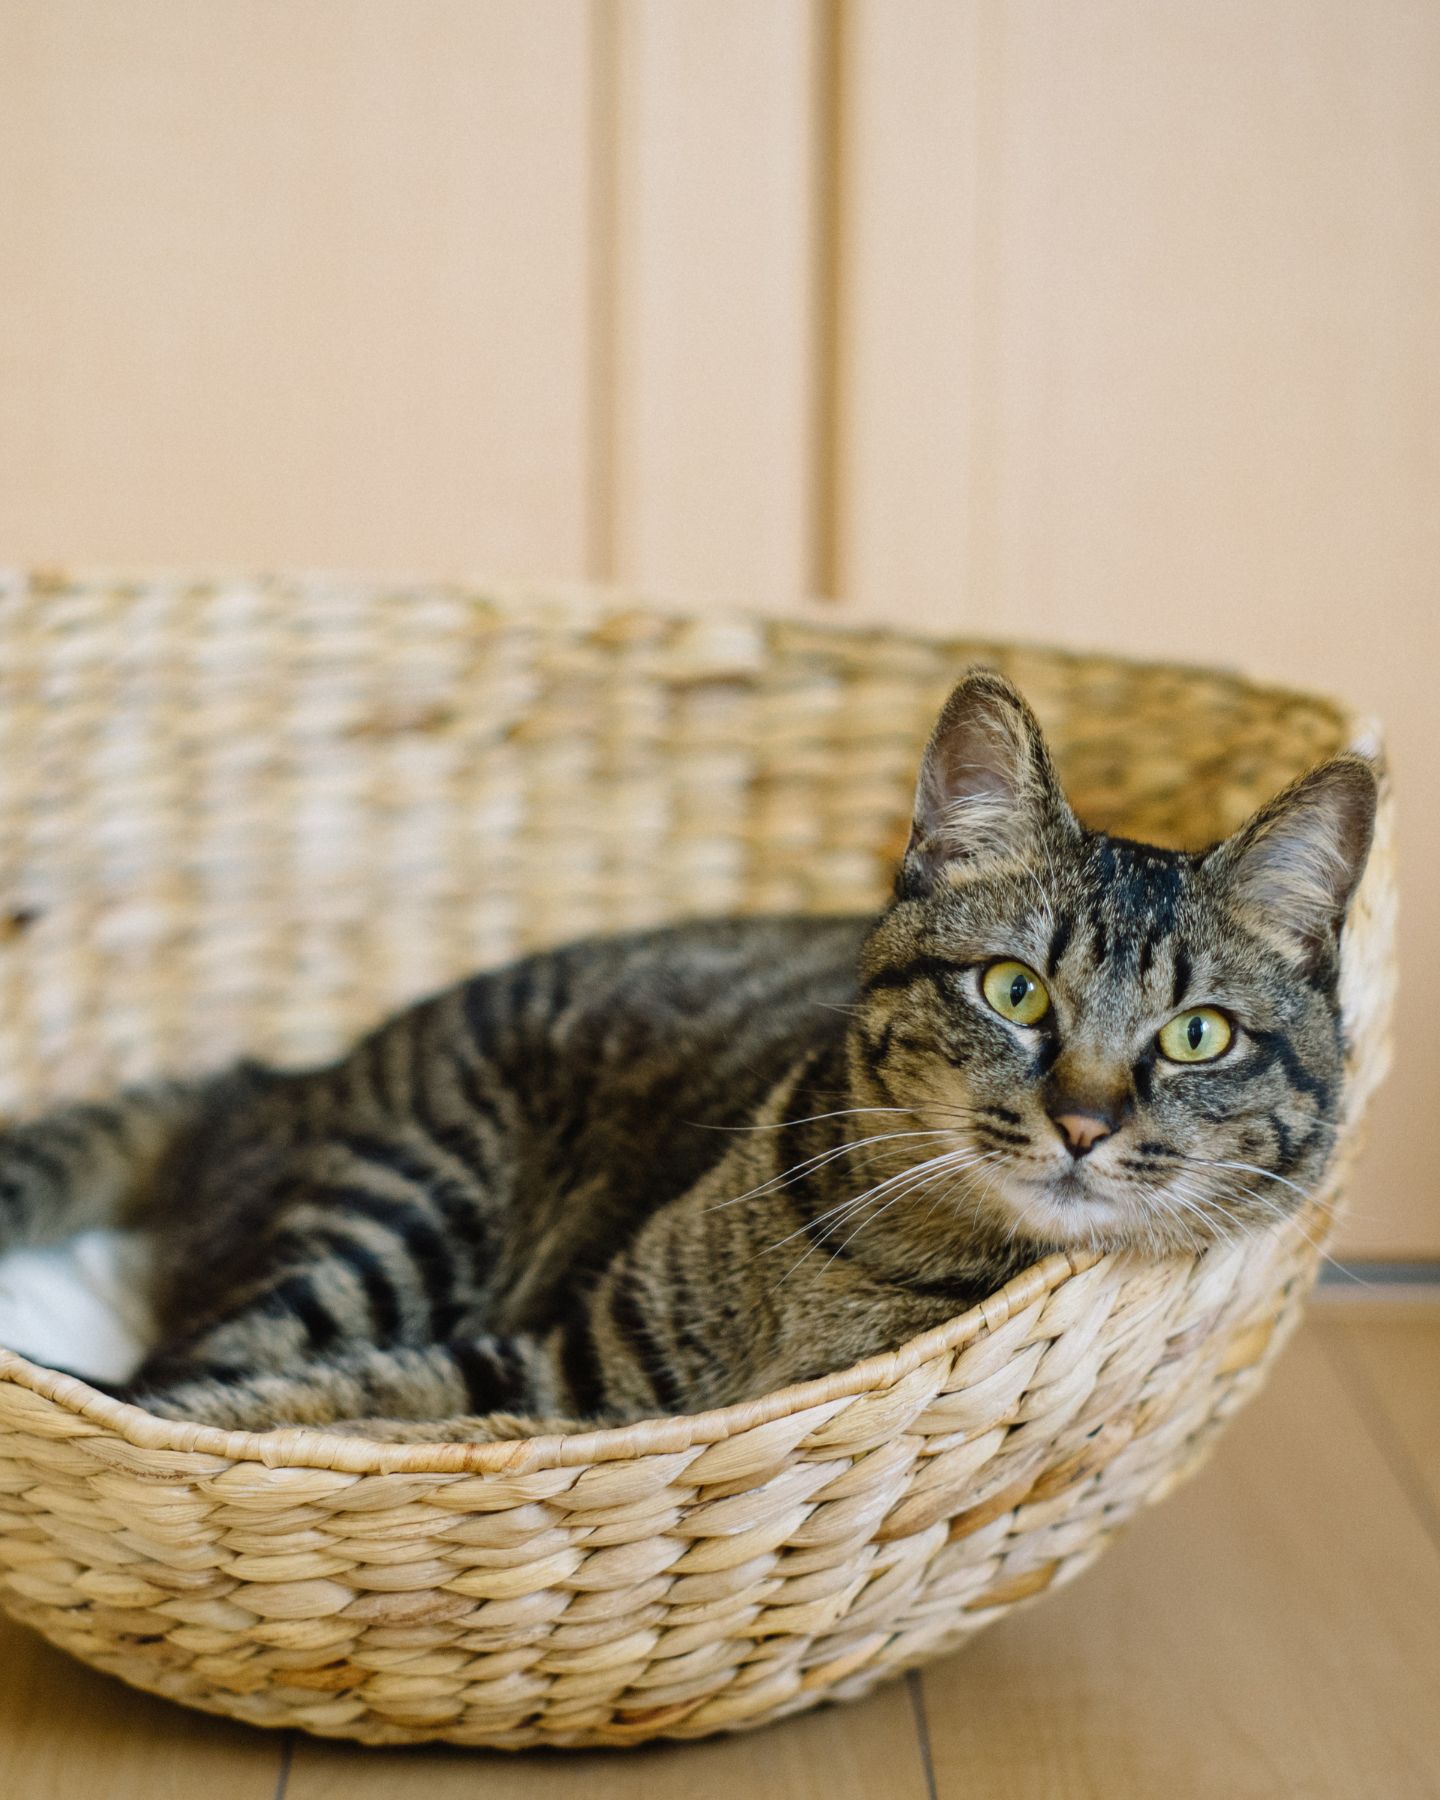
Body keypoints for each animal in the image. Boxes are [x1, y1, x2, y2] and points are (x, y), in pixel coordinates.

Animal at [0, 669, 1375, 1440]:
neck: (885, 1254)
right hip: (398, 1214)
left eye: (1197, 1036)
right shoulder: (575, 1366)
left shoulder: (564, 1382)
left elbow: (353, 1407)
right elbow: (288, 1406)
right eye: (1013, 989)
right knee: (203, 1352)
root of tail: (283, 1082)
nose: (1086, 1123)